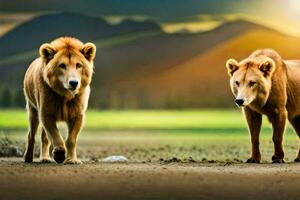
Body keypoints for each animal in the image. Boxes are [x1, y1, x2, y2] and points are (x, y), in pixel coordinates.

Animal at [23, 36, 96, 164]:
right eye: (62, 65)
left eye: (78, 65)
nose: (73, 82)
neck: (65, 96)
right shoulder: (46, 112)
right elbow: (55, 135)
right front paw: (59, 154)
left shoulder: (77, 114)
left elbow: (71, 139)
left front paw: (72, 160)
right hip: (32, 108)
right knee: (31, 134)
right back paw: (28, 157)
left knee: (44, 137)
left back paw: (45, 158)